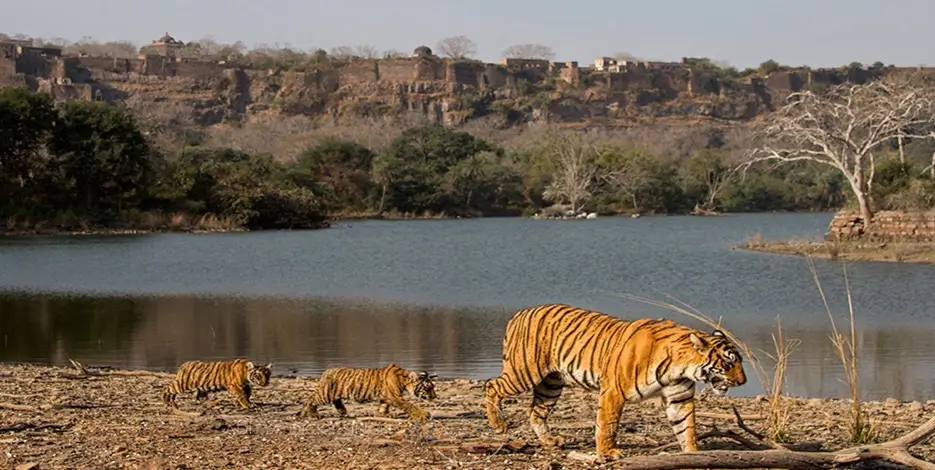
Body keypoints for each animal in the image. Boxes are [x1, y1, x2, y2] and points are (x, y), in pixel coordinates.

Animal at [298, 364, 437, 421]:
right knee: (311, 399)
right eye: (428, 388)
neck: (404, 379)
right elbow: (409, 405)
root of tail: (326, 371)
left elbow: (384, 405)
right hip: (325, 393)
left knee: (335, 400)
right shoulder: (394, 396)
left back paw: (342, 411)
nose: (435, 397)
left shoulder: (386, 396)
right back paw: (314, 414)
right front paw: (423, 415)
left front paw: (385, 414)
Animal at [483, 303, 746, 459]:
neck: (680, 368)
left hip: (551, 384)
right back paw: (499, 425)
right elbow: (608, 424)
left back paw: (550, 441)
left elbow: (687, 427)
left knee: (536, 412)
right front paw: (608, 451)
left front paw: (692, 452)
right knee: (491, 385)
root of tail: (520, 313)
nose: (743, 381)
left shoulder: (679, 398)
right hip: (524, 373)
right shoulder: (613, 391)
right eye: (729, 362)